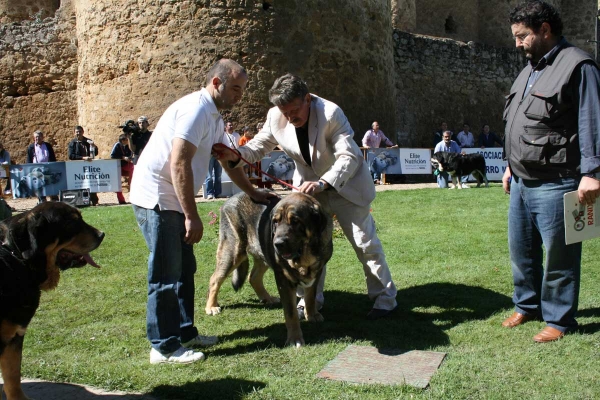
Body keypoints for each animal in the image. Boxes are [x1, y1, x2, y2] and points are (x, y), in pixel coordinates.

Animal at [204, 191, 330, 346]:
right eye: (275, 222)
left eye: (295, 221)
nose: (278, 243)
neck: (306, 254)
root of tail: (231, 199)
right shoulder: (284, 280)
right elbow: (291, 313)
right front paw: (294, 339)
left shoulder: (317, 272)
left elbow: (310, 296)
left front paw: (312, 314)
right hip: (233, 252)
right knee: (215, 279)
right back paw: (211, 306)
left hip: (262, 254)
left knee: (253, 277)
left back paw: (267, 298)